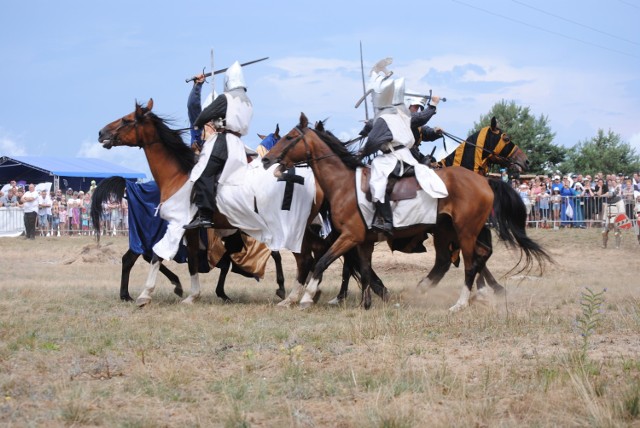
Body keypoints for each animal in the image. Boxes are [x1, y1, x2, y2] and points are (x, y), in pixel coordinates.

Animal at [89, 176, 284, 302]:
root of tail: (131, 187)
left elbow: (226, 262)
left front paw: (221, 292)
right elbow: (273, 253)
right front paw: (281, 286)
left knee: (136, 258)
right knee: (138, 258)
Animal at [262, 112, 552, 310]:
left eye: (290, 138)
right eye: (506, 138)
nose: (266, 159)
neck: (343, 183)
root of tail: (485, 181)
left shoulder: (351, 236)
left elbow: (323, 262)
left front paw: (308, 296)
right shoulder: (362, 240)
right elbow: (361, 268)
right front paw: (367, 302)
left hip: (465, 231)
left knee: (471, 262)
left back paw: (460, 302)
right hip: (448, 231)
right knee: (458, 260)